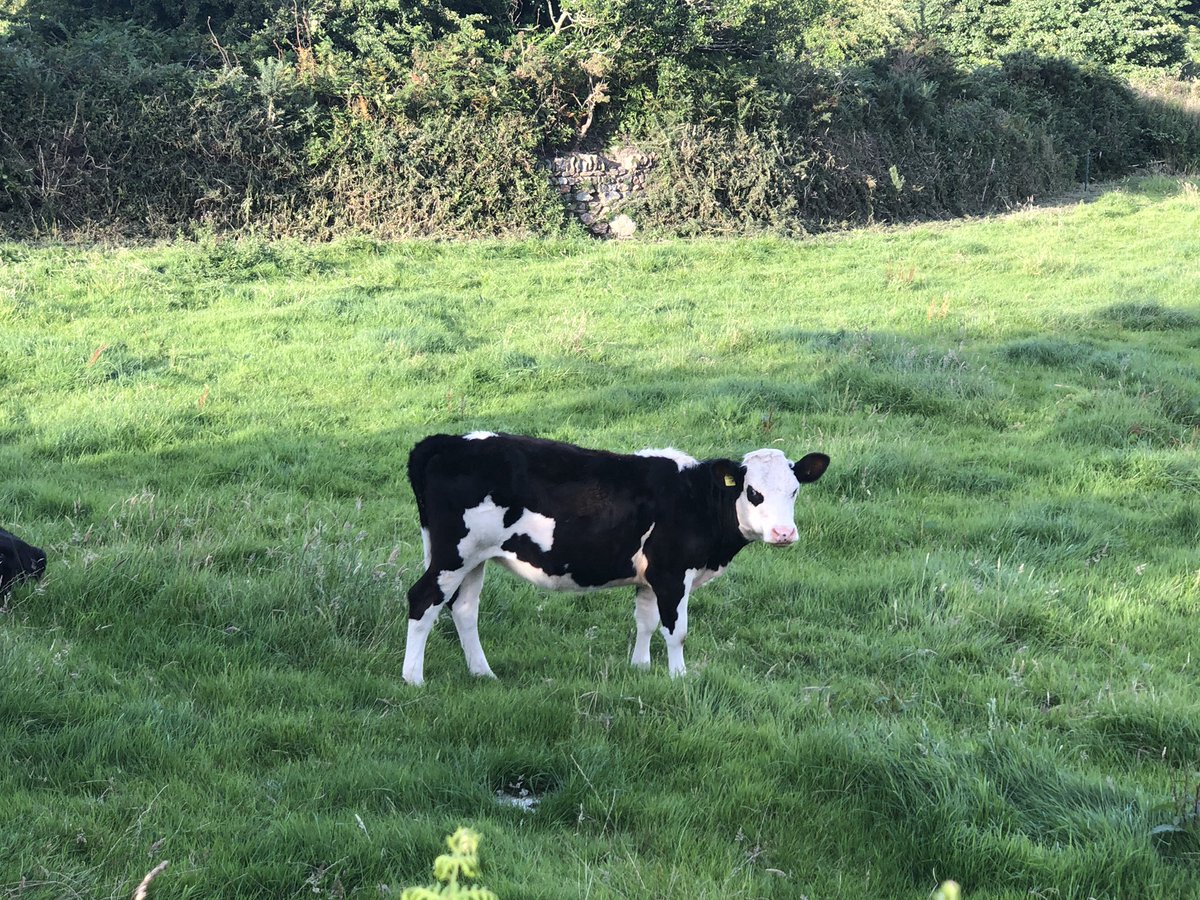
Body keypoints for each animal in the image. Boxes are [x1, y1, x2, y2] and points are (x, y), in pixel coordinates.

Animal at [402, 432, 829, 684]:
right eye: (754, 493)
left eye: (794, 490)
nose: (784, 534)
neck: (693, 497)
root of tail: (445, 441)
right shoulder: (672, 573)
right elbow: (676, 630)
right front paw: (679, 678)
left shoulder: (650, 578)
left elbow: (645, 621)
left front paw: (640, 667)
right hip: (453, 554)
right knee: (423, 601)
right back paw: (413, 679)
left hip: (474, 558)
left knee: (464, 609)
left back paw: (482, 673)